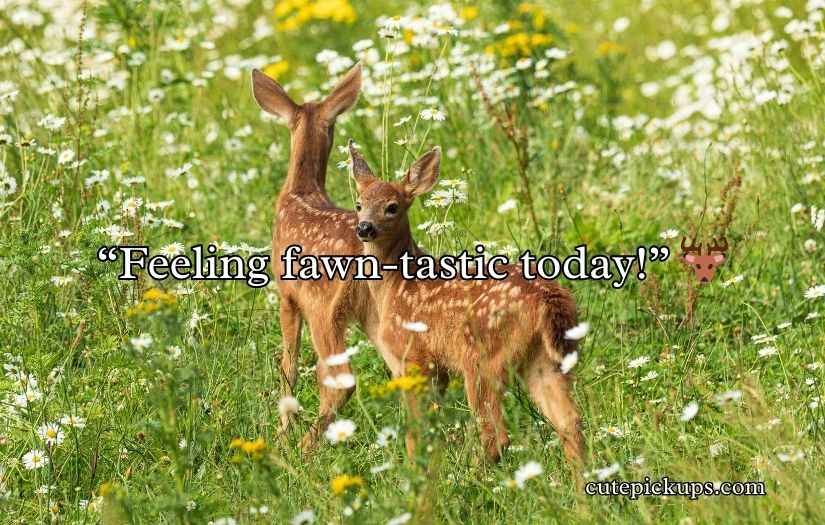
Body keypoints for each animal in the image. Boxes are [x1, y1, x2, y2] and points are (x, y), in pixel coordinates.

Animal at [251, 64, 380, 450]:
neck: (301, 191)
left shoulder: (288, 295)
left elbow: (288, 364)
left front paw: (282, 431)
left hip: (325, 308)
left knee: (340, 379)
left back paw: (304, 447)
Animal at [347, 141, 585, 465]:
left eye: (392, 206)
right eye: (359, 204)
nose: (365, 228)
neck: (395, 287)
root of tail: (548, 298)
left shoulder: (412, 358)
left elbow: (416, 429)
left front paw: (415, 468)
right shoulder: (437, 369)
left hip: (481, 356)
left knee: (496, 433)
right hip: (544, 359)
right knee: (569, 421)